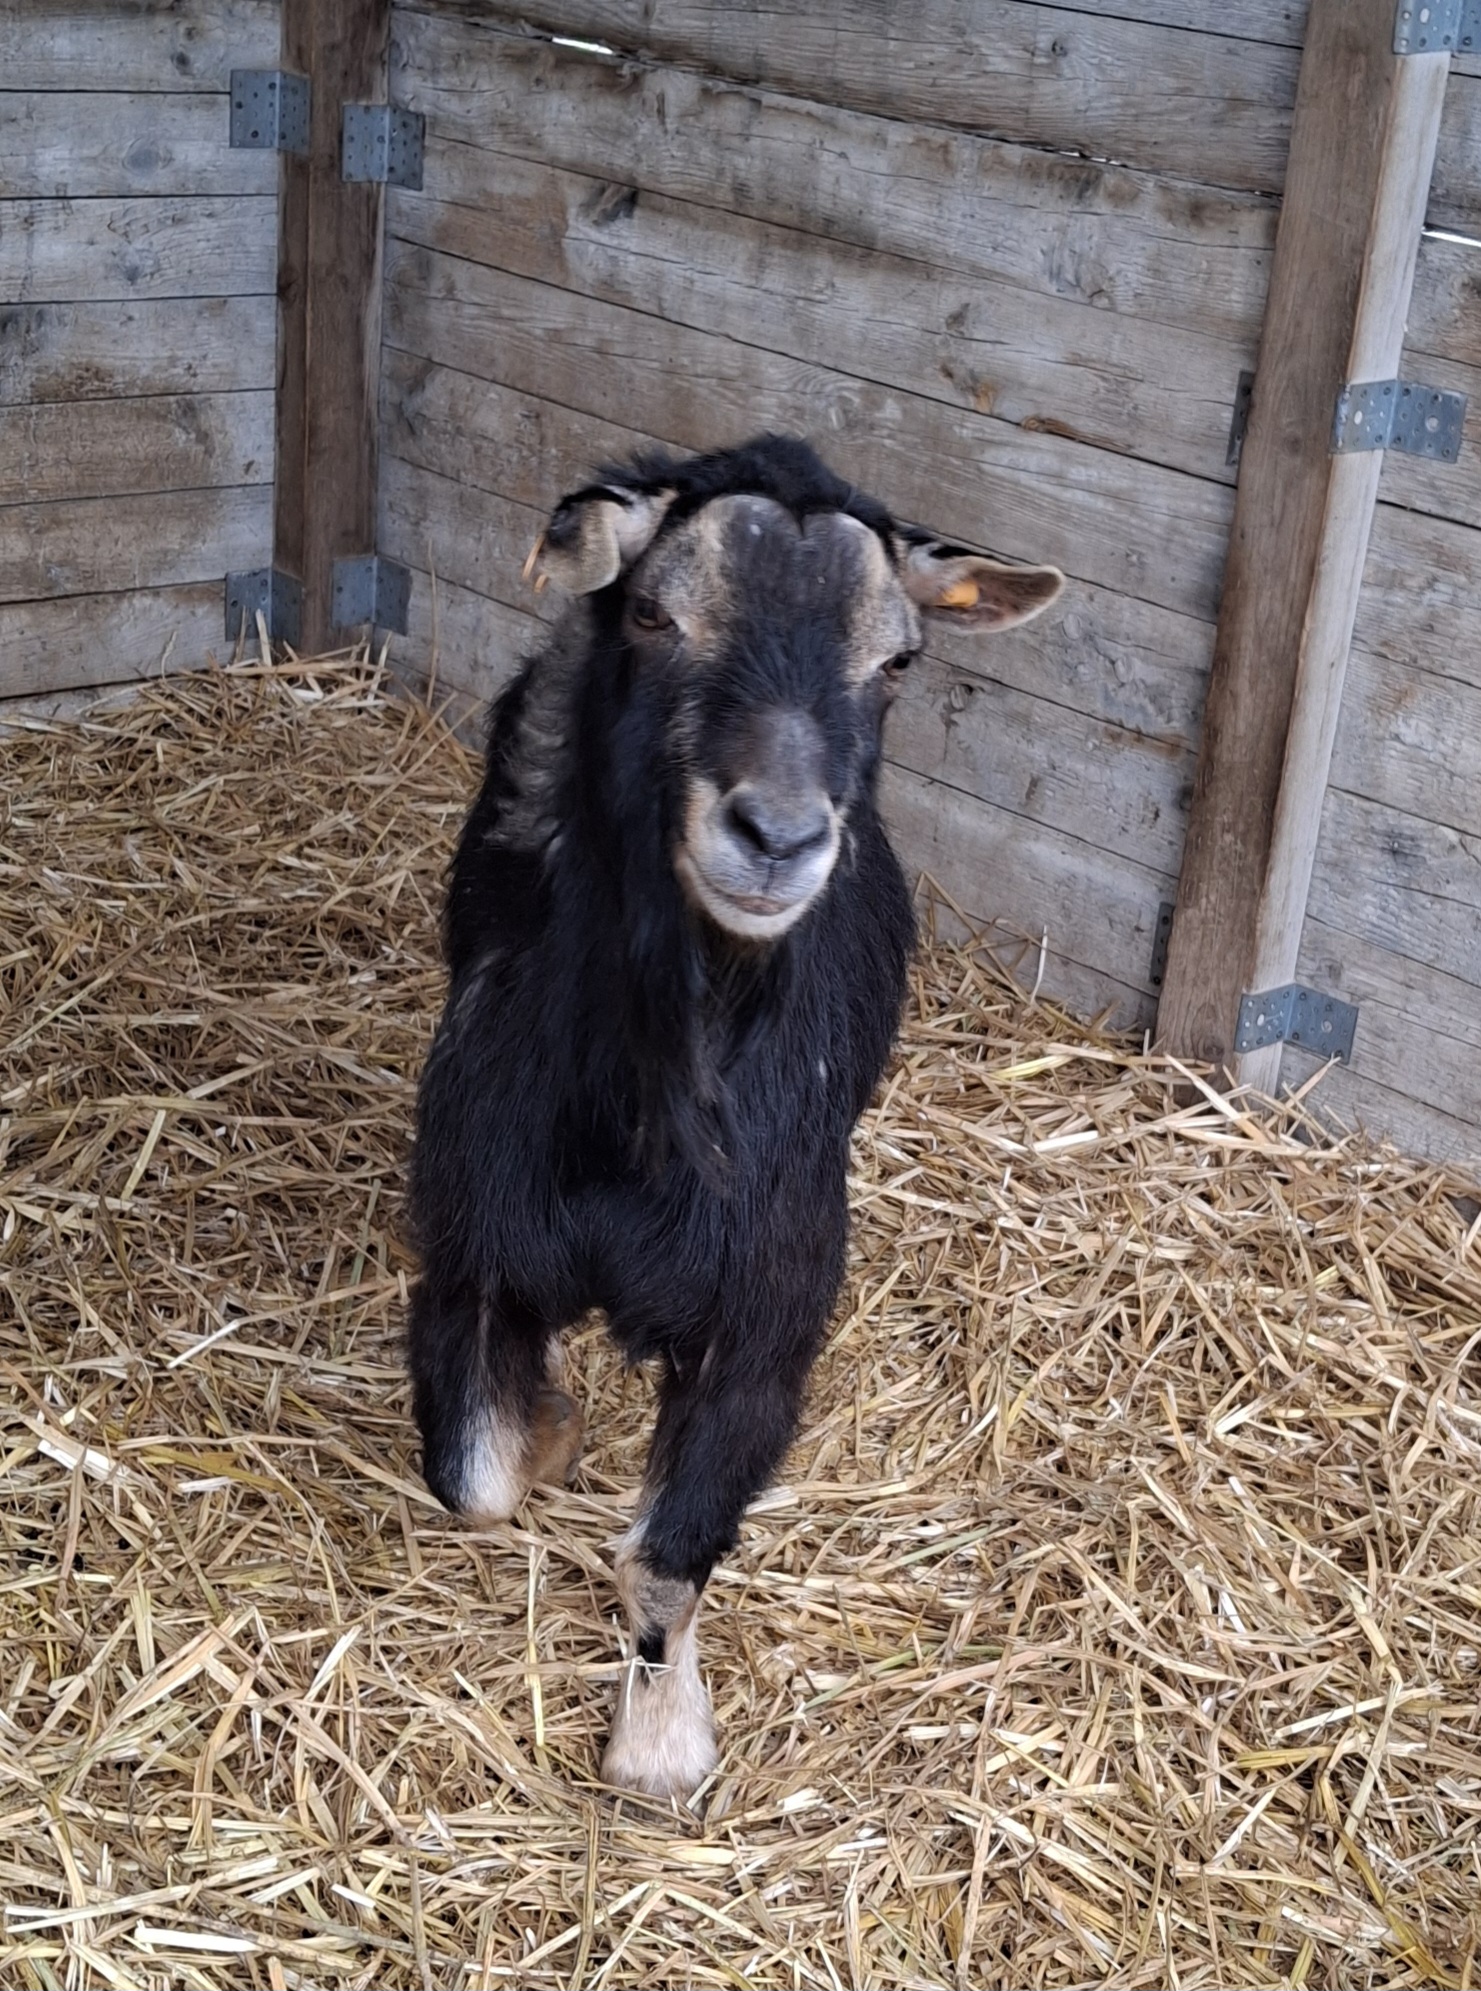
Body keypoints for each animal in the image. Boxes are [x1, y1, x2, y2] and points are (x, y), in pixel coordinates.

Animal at [407, 435, 1064, 1798]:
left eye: (896, 661)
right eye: (655, 614)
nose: (776, 835)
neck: (646, 1115)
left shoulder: (765, 1316)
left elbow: (666, 1556)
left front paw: (662, 1740)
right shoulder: (471, 1241)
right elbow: (477, 1478)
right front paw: (555, 1428)